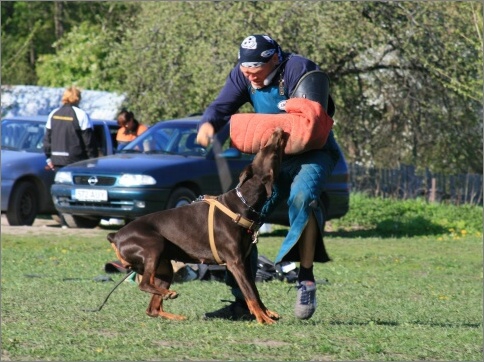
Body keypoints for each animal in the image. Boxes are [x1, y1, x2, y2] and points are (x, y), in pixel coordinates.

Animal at [107, 128, 288, 326]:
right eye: (269, 150)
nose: (278, 130)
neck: (242, 204)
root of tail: (115, 236)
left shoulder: (246, 262)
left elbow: (255, 290)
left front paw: (267, 312)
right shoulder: (235, 263)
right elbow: (250, 293)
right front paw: (263, 318)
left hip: (164, 266)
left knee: (152, 309)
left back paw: (175, 314)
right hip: (153, 247)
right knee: (144, 283)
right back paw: (169, 293)